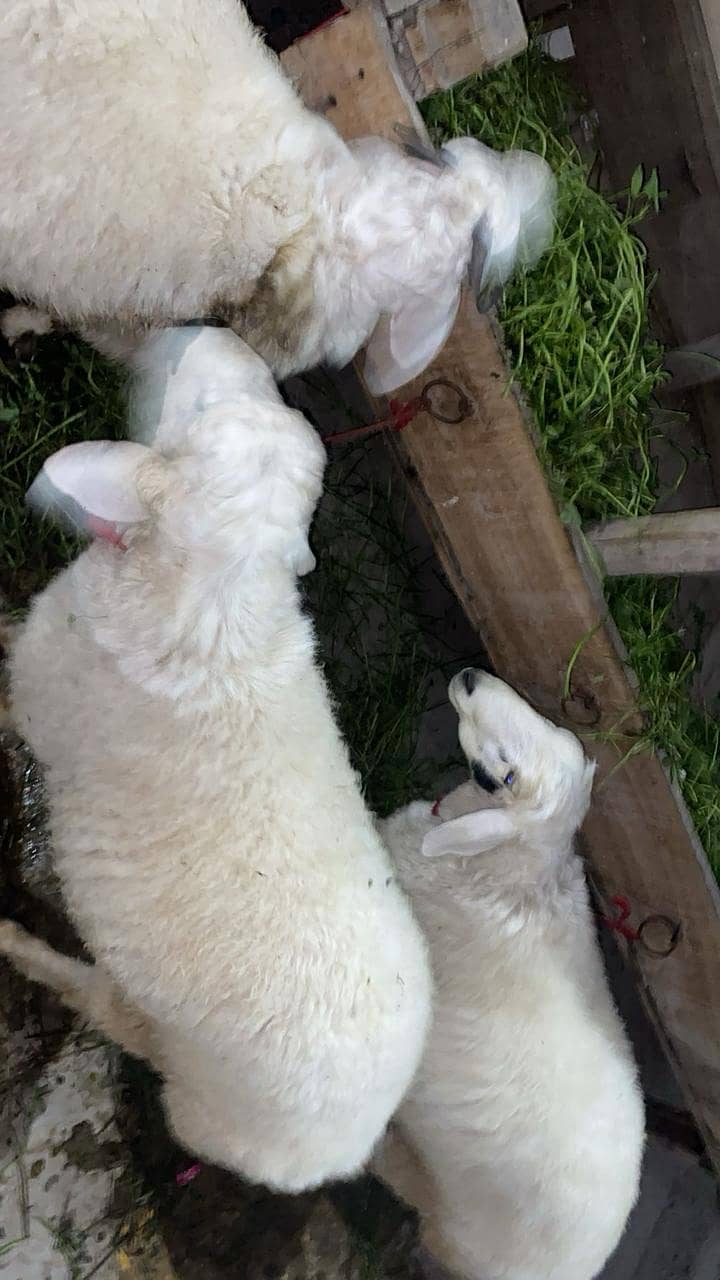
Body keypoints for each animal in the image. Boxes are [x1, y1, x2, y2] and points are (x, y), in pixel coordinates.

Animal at [0, 324, 432, 1194]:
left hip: (181, 1070)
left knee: (110, 1013)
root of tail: (354, 1144)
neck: (218, 602)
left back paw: (19, 947)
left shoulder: (35, 687)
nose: (214, 331)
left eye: (197, 410)